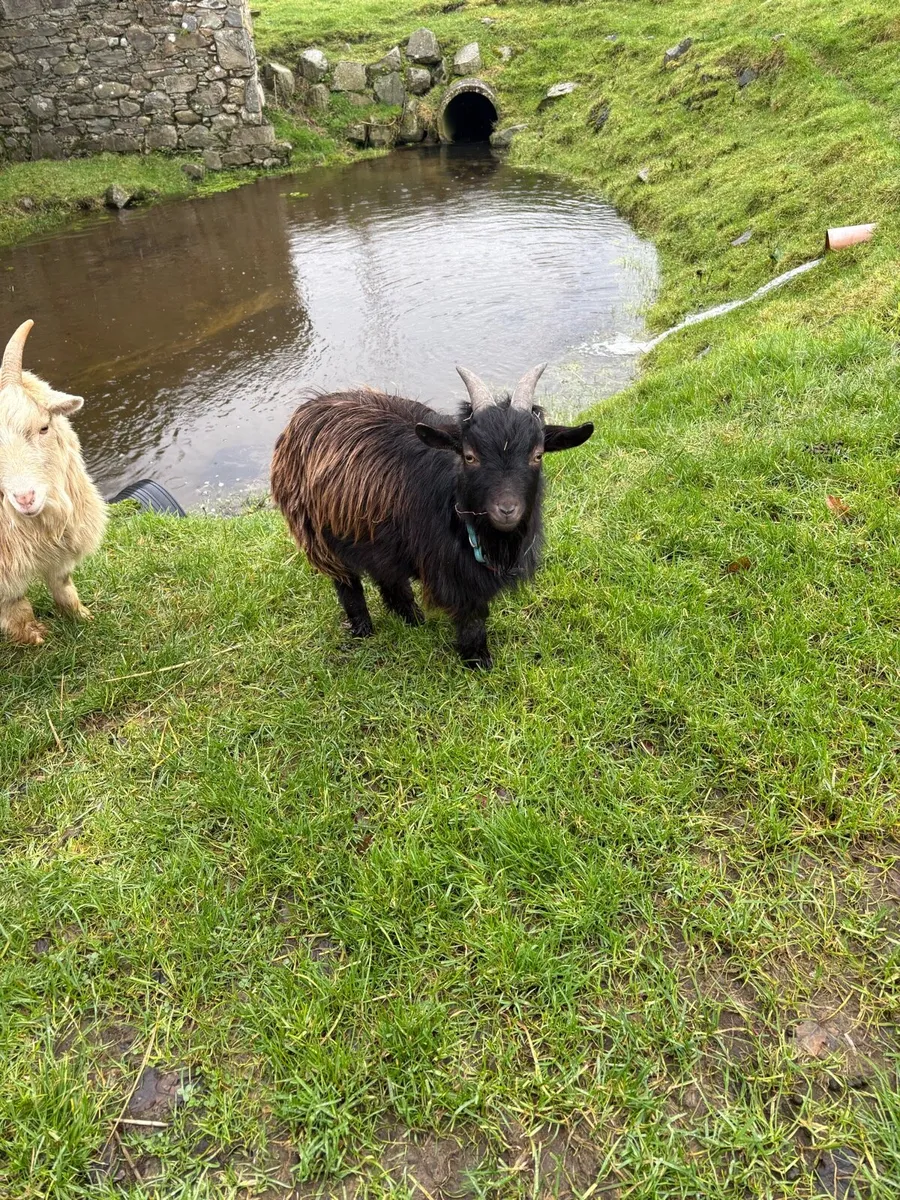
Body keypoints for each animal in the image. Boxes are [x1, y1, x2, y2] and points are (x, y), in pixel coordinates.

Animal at [0, 320, 107, 646]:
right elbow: (17, 606)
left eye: (44, 427)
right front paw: (33, 638)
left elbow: (63, 585)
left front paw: (82, 617)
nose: (25, 498)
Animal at [271, 364, 593, 667]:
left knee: (389, 577)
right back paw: (364, 630)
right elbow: (472, 617)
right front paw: (478, 662)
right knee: (348, 585)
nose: (506, 510)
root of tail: (309, 407)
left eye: (537, 454)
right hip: (320, 537)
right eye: (469, 455)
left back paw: (413, 619)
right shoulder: (454, 574)